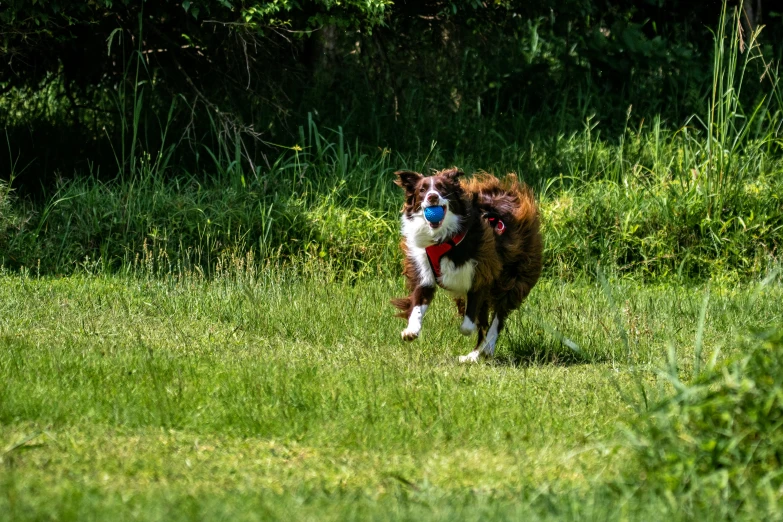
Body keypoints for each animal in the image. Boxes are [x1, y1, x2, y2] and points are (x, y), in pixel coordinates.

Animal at [392, 168, 544, 362]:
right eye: (422, 190)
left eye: (442, 188)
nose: (432, 197)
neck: (444, 240)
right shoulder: (423, 269)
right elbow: (418, 302)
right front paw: (411, 331)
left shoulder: (482, 274)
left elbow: (470, 323)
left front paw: (469, 333)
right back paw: (475, 354)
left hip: (514, 278)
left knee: (497, 317)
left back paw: (484, 349)